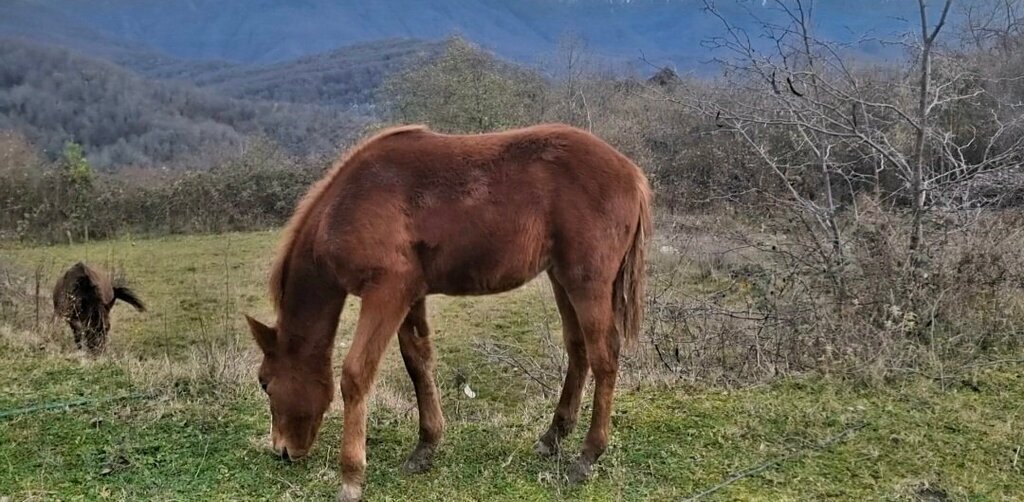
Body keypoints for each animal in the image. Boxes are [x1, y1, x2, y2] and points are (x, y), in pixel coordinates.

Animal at [243, 123, 651, 499]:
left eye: (264, 382)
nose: (282, 450)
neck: (348, 203)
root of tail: (632, 173)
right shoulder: (409, 295)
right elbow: (419, 363)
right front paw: (426, 447)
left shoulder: (386, 293)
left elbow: (356, 375)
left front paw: (351, 476)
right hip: (560, 278)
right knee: (577, 349)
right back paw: (552, 437)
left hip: (587, 282)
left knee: (604, 356)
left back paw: (588, 455)